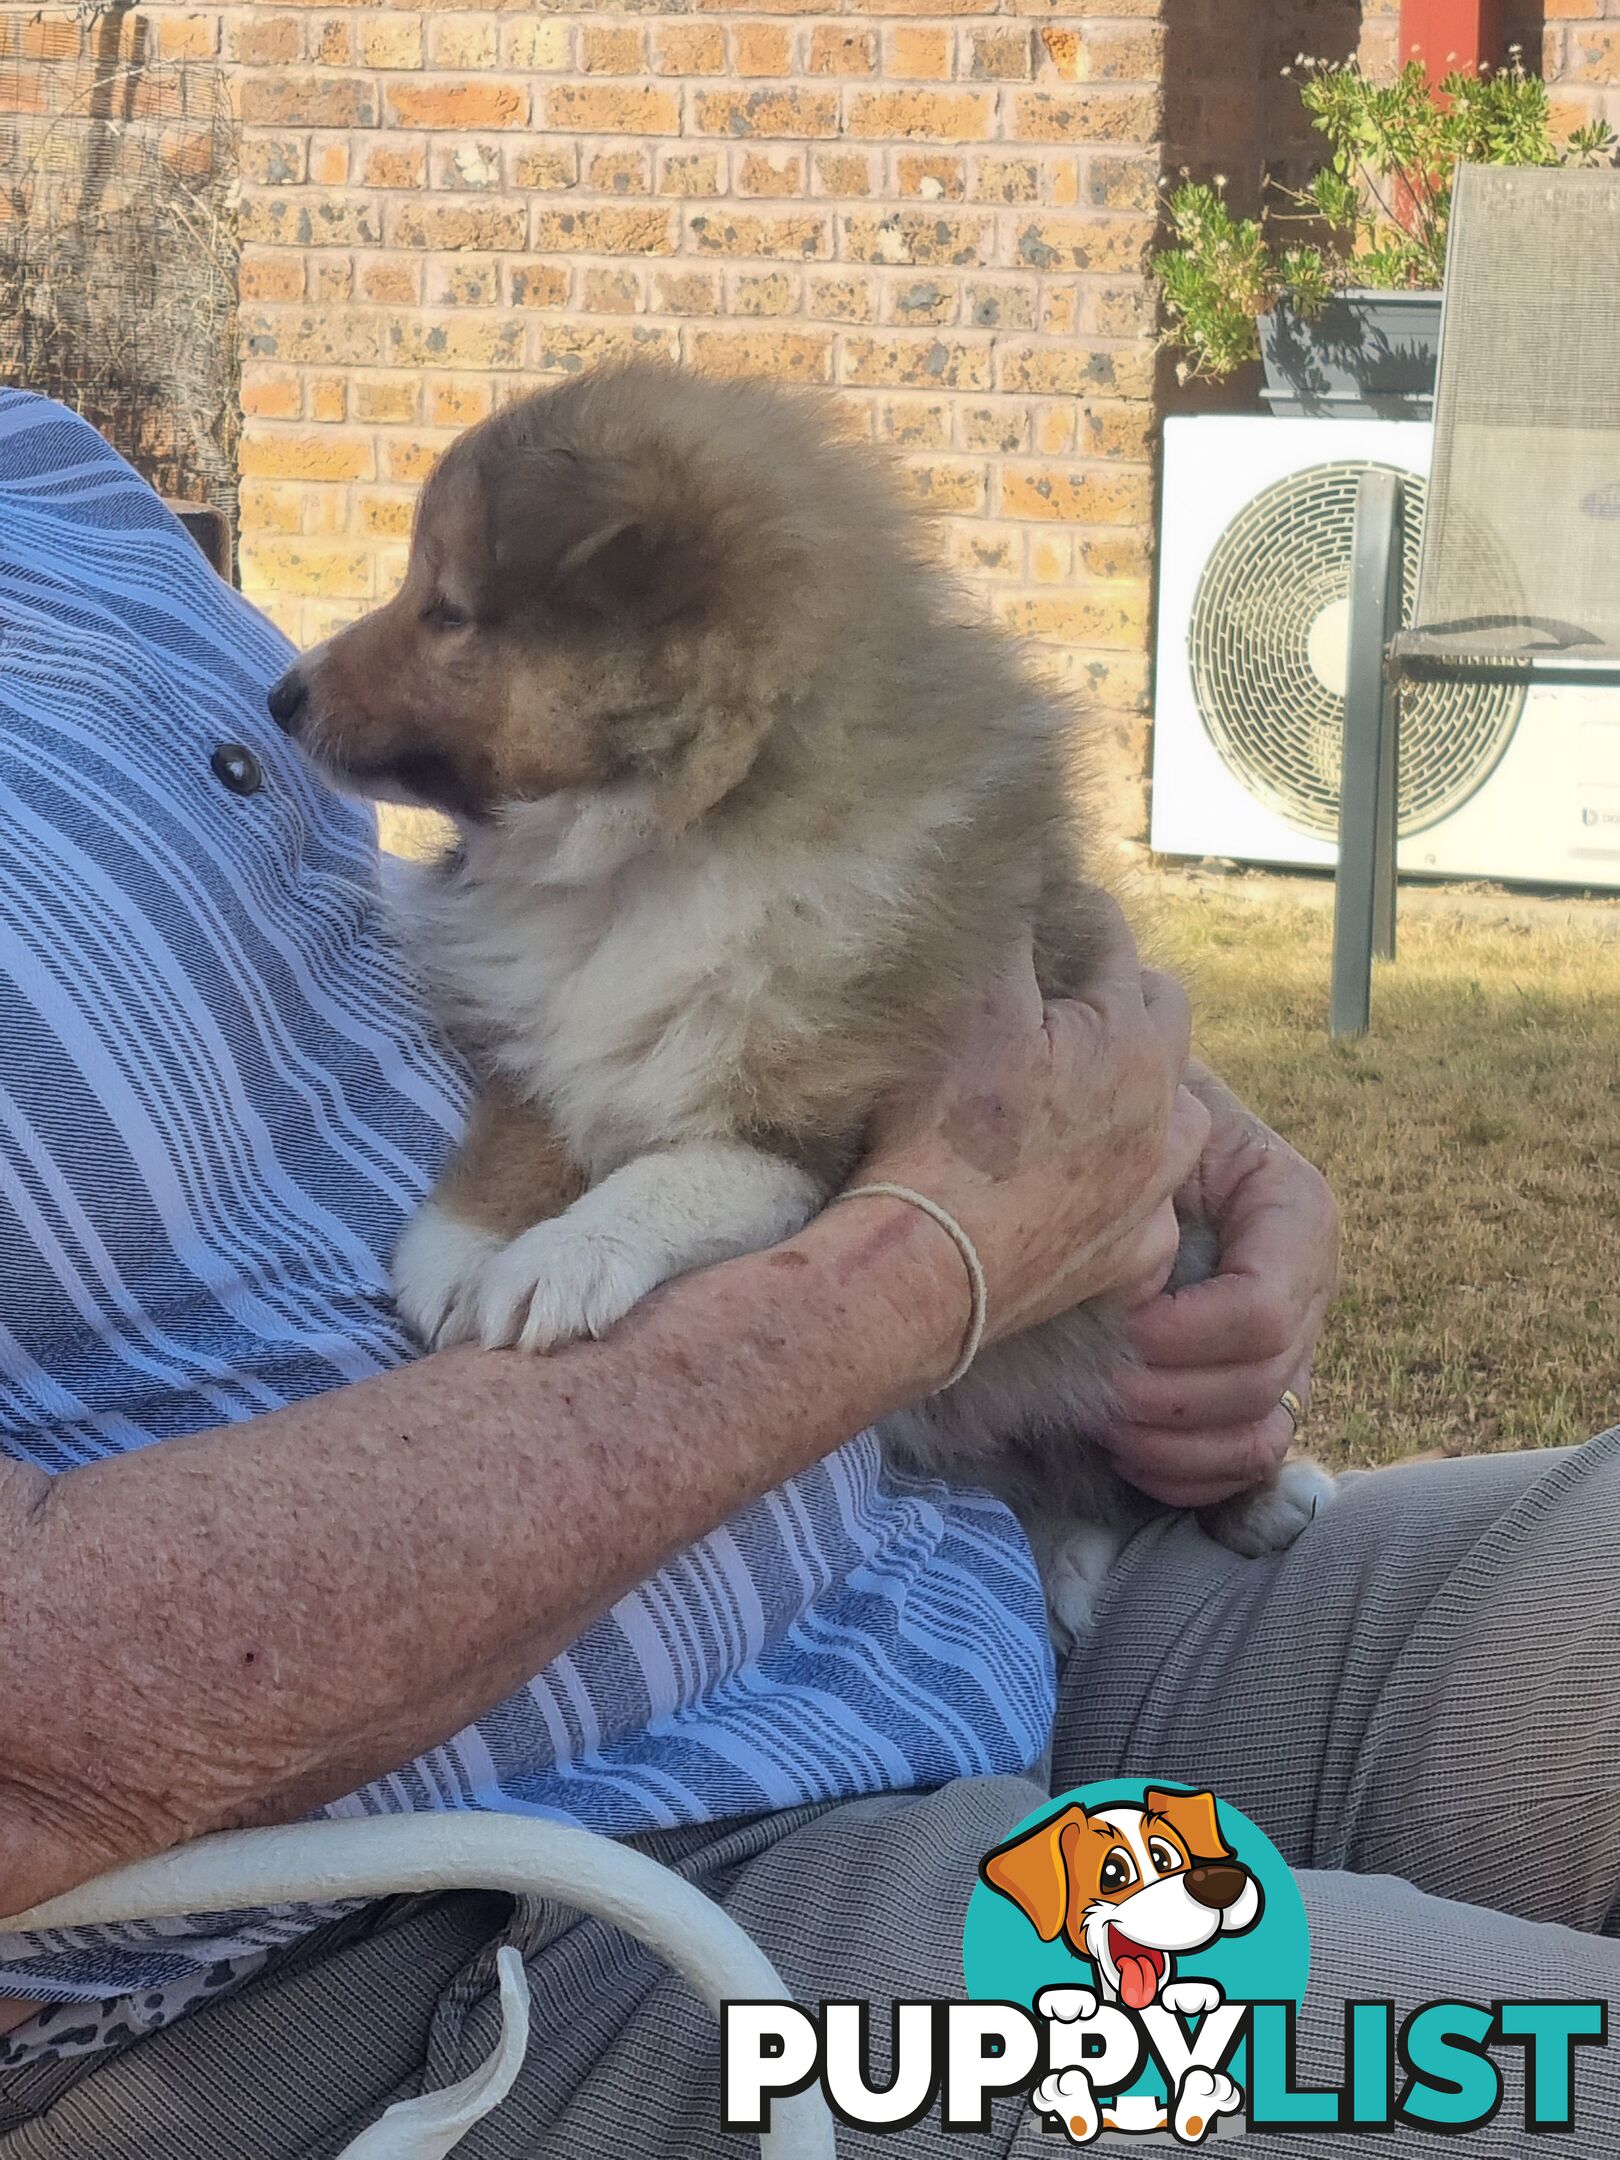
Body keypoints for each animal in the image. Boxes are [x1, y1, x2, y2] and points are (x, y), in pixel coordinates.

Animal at [270, 362, 1330, 1632]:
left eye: (446, 612)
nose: (279, 696)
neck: (667, 845)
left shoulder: (805, 1121)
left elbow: (669, 1173)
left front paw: (556, 1263)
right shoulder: (551, 1022)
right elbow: (528, 1116)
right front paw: (461, 1249)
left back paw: (1264, 1499)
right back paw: (1071, 1560)